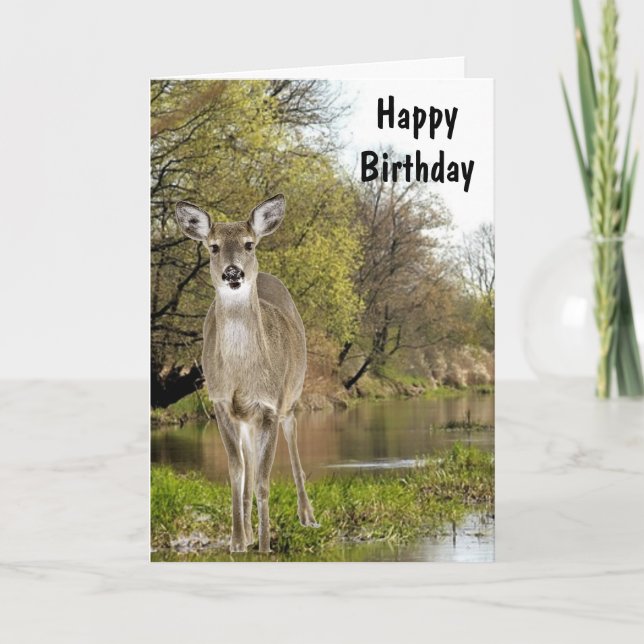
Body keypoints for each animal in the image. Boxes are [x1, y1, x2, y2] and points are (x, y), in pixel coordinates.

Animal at [175, 194, 318, 553]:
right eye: (213, 247)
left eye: (248, 244)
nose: (232, 272)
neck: (243, 374)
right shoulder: (221, 403)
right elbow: (237, 472)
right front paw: (238, 541)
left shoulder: (269, 405)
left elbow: (265, 480)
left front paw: (266, 545)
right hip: (246, 419)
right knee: (249, 463)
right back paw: (249, 531)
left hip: (291, 394)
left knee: (292, 443)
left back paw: (307, 515)